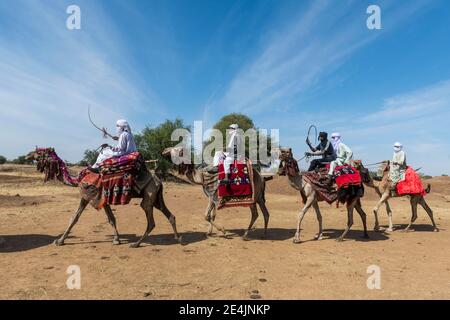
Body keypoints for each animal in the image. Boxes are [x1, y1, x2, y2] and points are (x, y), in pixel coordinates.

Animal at [25, 148, 181, 248]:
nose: (27, 155)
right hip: (156, 196)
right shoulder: (103, 200)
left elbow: (75, 218)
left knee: (151, 221)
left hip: (149, 195)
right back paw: (178, 239)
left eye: (39, 152)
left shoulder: (88, 195)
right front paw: (117, 239)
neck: (78, 178)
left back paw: (136, 244)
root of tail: (158, 180)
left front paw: (59, 241)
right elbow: (110, 218)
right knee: (170, 215)